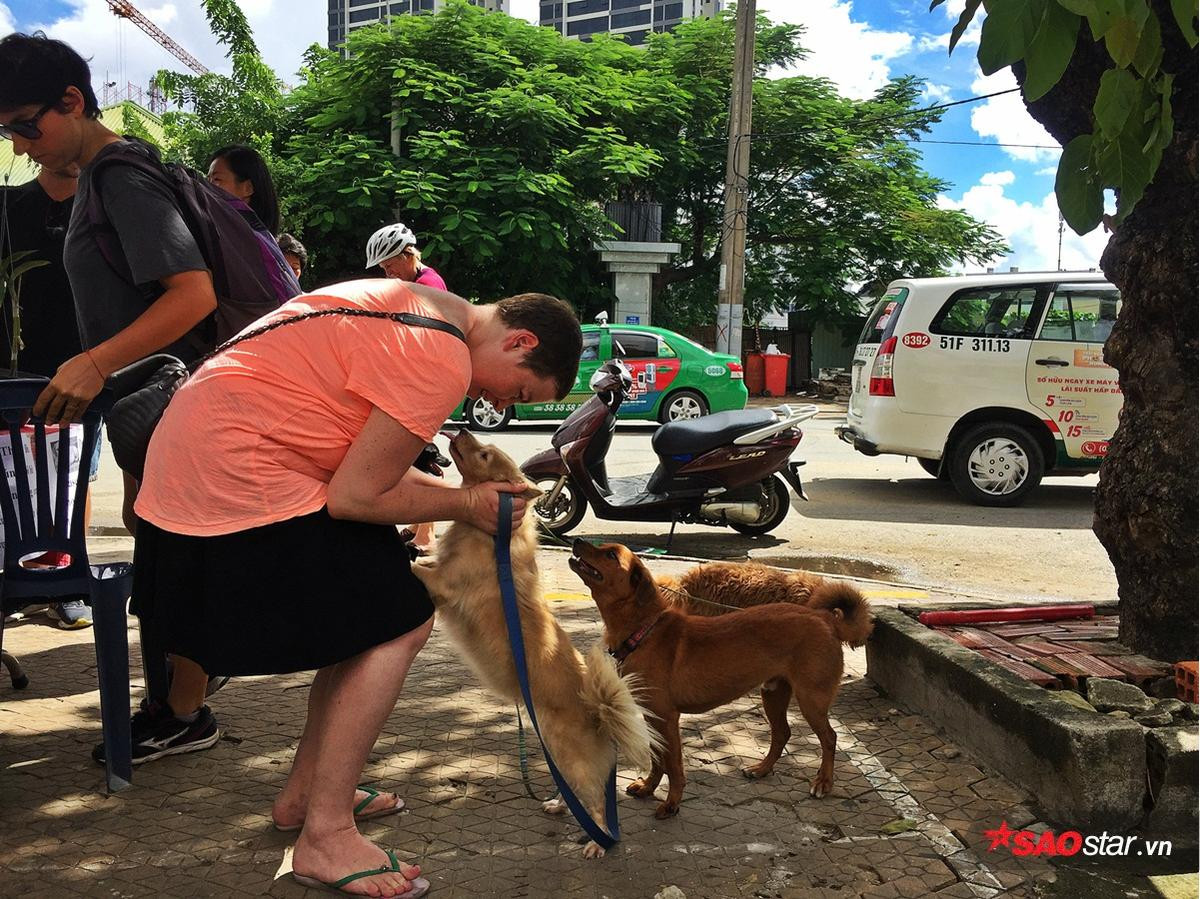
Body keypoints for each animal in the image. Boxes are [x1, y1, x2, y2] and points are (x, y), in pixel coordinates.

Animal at [412, 432, 657, 859]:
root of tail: (601, 711)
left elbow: (415, 566)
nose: (459, 431)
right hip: (557, 753)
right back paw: (559, 805)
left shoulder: (442, 583)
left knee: (594, 799)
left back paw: (597, 841)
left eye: (483, 455)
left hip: (566, 753)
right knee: (576, 792)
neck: (493, 534)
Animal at [571, 540, 873, 820]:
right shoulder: (652, 716)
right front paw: (648, 787)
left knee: (829, 738)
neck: (644, 629)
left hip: (811, 699)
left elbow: (674, 766)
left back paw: (823, 782)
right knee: (782, 733)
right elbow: (657, 759)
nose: (577, 542)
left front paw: (672, 803)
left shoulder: (667, 718)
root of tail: (824, 617)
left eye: (611, 555)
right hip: (773, 693)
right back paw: (761, 769)